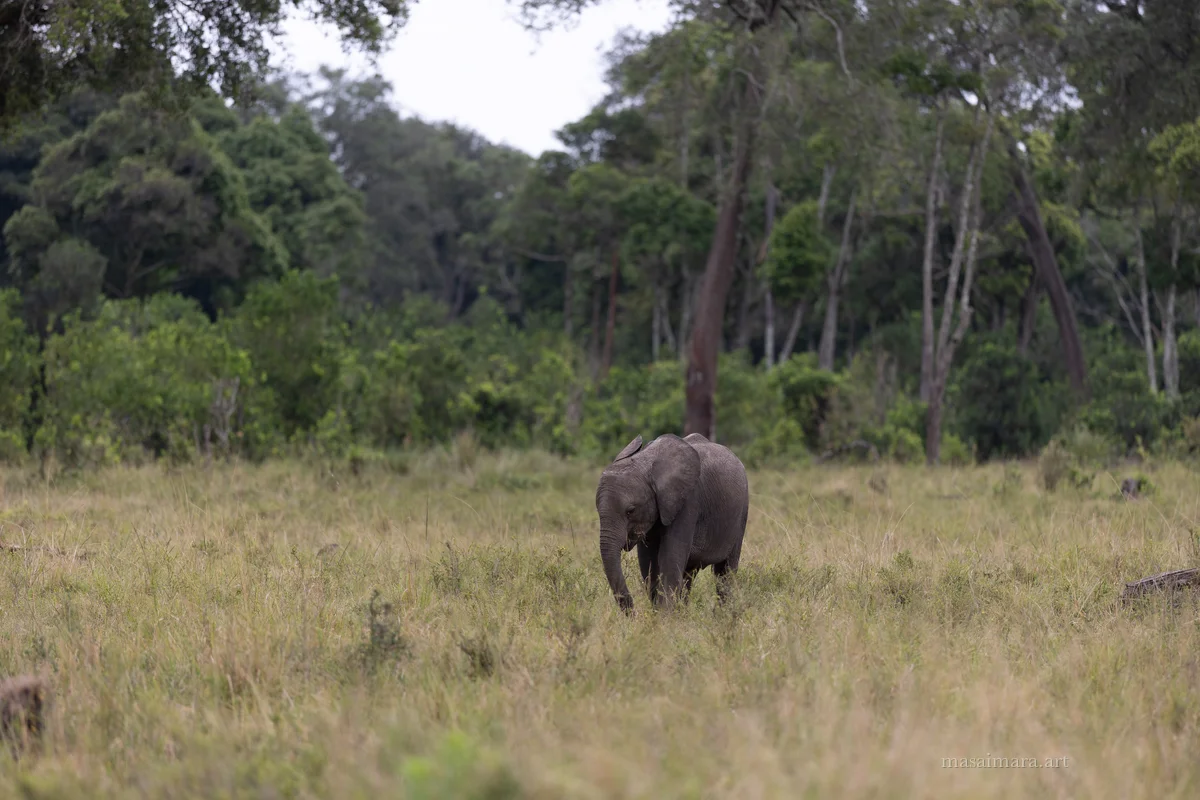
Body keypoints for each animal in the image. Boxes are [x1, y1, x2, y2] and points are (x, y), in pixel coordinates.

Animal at [595, 432, 749, 613]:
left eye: (630, 511)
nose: (634, 613)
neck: (645, 463)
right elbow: (649, 563)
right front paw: (660, 615)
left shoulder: (688, 502)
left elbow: (669, 558)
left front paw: (664, 616)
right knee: (689, 574)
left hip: (741, 512)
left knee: (725, 571)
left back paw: (725, 614)